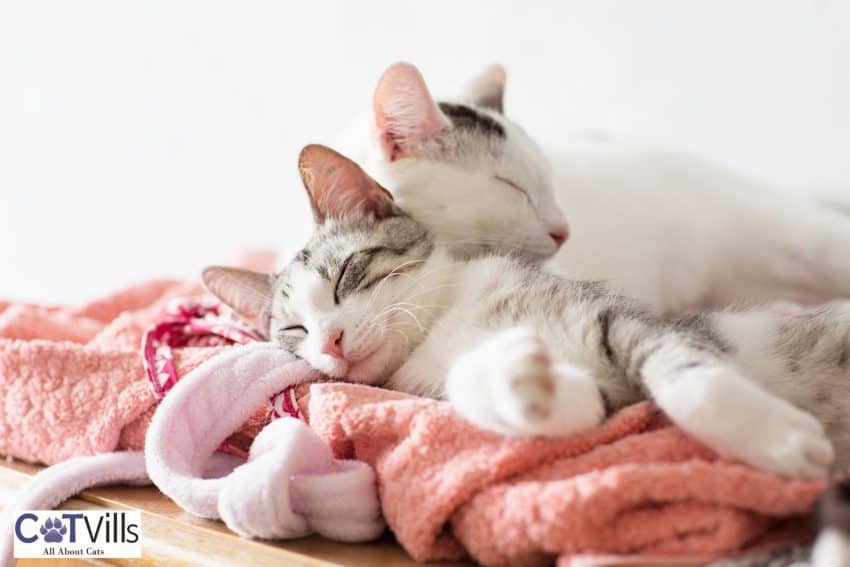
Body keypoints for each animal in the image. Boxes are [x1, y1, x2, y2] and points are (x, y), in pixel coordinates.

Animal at [204, 144, 840, 482]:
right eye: (294, 331)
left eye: (345, 275)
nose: (330, 342)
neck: (445, 325)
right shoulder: (617, 408)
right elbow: (574, 408)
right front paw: (524, 381)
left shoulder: (631, 319)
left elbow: (688, 376)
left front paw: (776, 438)